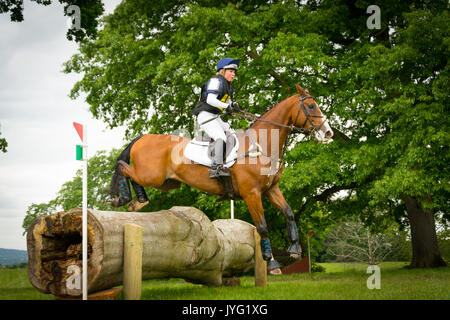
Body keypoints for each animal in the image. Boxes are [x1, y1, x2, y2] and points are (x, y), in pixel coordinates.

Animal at [110, 84, 332, 272]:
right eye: (311, 106)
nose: (328, 132)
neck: (262, 145)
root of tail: (143, 137)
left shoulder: (270, 190)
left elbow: (289, 213)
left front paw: (295, 249)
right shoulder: (252, 194)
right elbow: (262, 227)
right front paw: (272, 263)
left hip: (166, 183)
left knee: (132, 174)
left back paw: (139, 201)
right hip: (152, 176)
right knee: (122, 166)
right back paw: (124, 199)